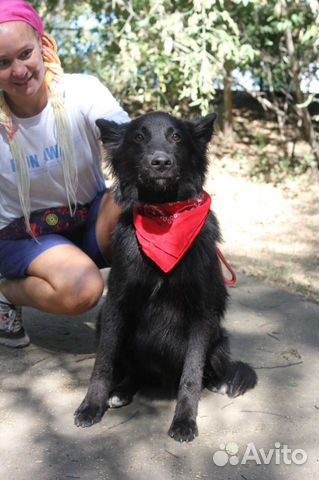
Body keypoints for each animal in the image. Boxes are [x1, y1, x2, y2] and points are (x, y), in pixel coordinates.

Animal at [74, 111, 258, 442]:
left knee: (207, 370)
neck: (164, 217)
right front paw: (92, 405)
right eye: (139, 137)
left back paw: (217, 381)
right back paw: (120, 391)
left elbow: (191, 375)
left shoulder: (202, 313)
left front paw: (185, 420)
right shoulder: (115, 305)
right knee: (133, 371)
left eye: (176, 137)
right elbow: (103, 363)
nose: (160, 162)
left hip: (219, 337)